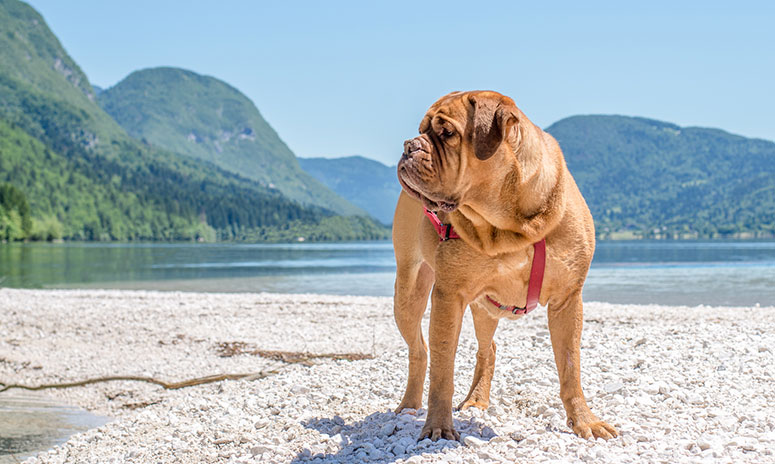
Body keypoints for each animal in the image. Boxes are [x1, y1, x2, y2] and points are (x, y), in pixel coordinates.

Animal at [394, 90, 620, 442]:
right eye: (421, 131)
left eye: (447, 133)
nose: (409, 145)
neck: (511, 224)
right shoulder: (448, 297)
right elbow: (443, 369)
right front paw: (438, 427)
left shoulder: (567, 300)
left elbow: (571, 368)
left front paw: (585, 421)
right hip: (407, 294)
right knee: (420, 351)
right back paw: (409, 405)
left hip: (486, 309)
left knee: (488, 348)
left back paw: (476, 400)